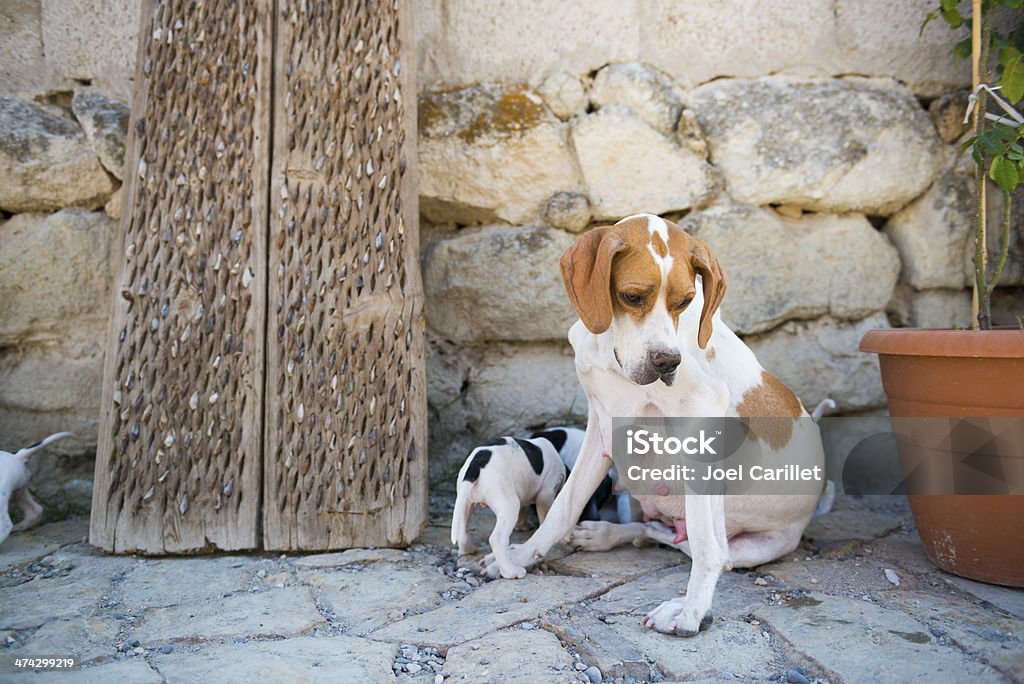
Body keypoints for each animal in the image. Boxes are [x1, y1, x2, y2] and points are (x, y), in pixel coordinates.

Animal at [452, 436, 569, 573]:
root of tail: (476, 464)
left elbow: (523, 510)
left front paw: (523, 525)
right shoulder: (546, 494)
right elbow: (545, 515)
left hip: (466, 500)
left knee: (462, 530)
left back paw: (467, 549)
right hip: (509, 504)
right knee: (497, 538)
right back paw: (511, 571)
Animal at [481, 211, 831, 634]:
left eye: (686, 301)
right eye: (632, 296)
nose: (667, 363)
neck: (611, 348)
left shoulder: (703, 413)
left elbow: (708, 547)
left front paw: (692, 609)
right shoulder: (601, 425)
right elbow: (565, 505)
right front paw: (522, 555)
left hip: (752, 541)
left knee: (711, 549)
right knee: (655, 532)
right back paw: (606, 534)